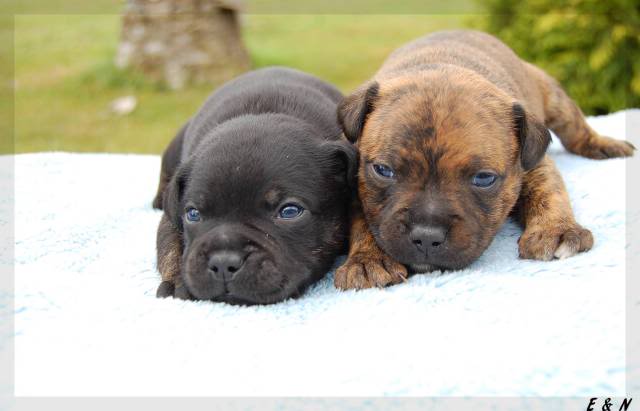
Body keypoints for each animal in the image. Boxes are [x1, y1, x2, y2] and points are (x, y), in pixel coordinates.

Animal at [153, 68, 358, 306]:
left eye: (290, 211)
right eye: (193, 214)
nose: (223, 262)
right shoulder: (171, 219)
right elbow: (169, 248)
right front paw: (177, 281)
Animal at [336, 29, 636, 290]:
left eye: (484, 179)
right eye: (383, 170)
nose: (427, 237)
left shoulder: (534, 164)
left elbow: (549, 193)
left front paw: (556, 230)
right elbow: (362, 220)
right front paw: (367, 259)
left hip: (552, 96)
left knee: (575, 129)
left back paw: (604, 144)